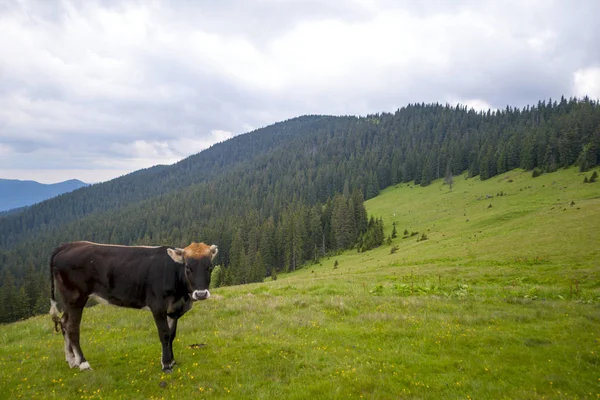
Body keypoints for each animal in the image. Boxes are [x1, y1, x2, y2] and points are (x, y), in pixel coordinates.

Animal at [48, 239, 218, 374]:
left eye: (210, 266)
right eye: (188, 267)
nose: (201, 294)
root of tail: (68, 245)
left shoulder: (173, 309)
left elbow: (172, 335)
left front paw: (172, 361)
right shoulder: (158, 306)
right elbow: (164, 334)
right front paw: (166, 365)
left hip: (68, 300)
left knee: (64, 323)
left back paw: (71, 361)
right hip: (75, 298)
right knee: (72, 328)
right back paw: (83, 363)